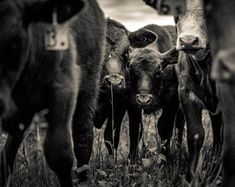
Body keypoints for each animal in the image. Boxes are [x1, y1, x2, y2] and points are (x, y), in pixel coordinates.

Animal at [0, 0, 105, 186]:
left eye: (14, 43)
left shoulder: (64, 87)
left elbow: (59, 153)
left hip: (89, 86)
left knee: (83, 135)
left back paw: (83, 178)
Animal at [126, 24, 180, 159]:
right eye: (131, 71)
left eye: (159, 72)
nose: (144, 100)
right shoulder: (132, 101)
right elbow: (135, 129)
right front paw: (132, 158)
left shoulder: (172, 98)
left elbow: (165, 127)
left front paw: (166, 158)